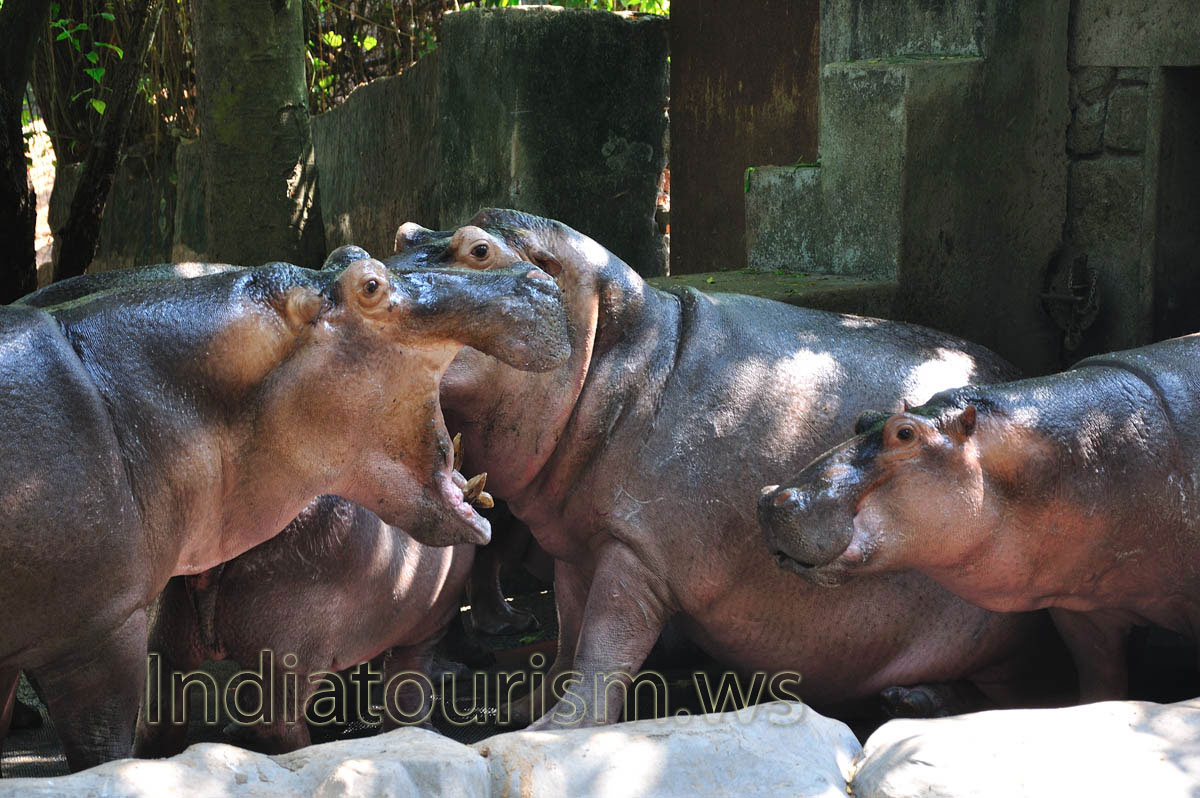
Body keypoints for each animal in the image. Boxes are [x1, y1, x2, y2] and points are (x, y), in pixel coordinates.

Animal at [0, 257, 568, 770]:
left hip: (167, 643)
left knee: (163, 721)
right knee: (275, 725)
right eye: (370, 284)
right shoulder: (99, 637)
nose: (535, 278)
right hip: (271, 650)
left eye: (348, 255)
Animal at [355, 209, 1075, 729]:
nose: (345, 276)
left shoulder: (637, 556)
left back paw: (915, 702)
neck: (625, 360)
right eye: (404, 233)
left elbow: (603, 649)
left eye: (478, 250)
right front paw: (510, 710)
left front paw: (548, 732)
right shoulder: (578, 546)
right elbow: (567, 639)